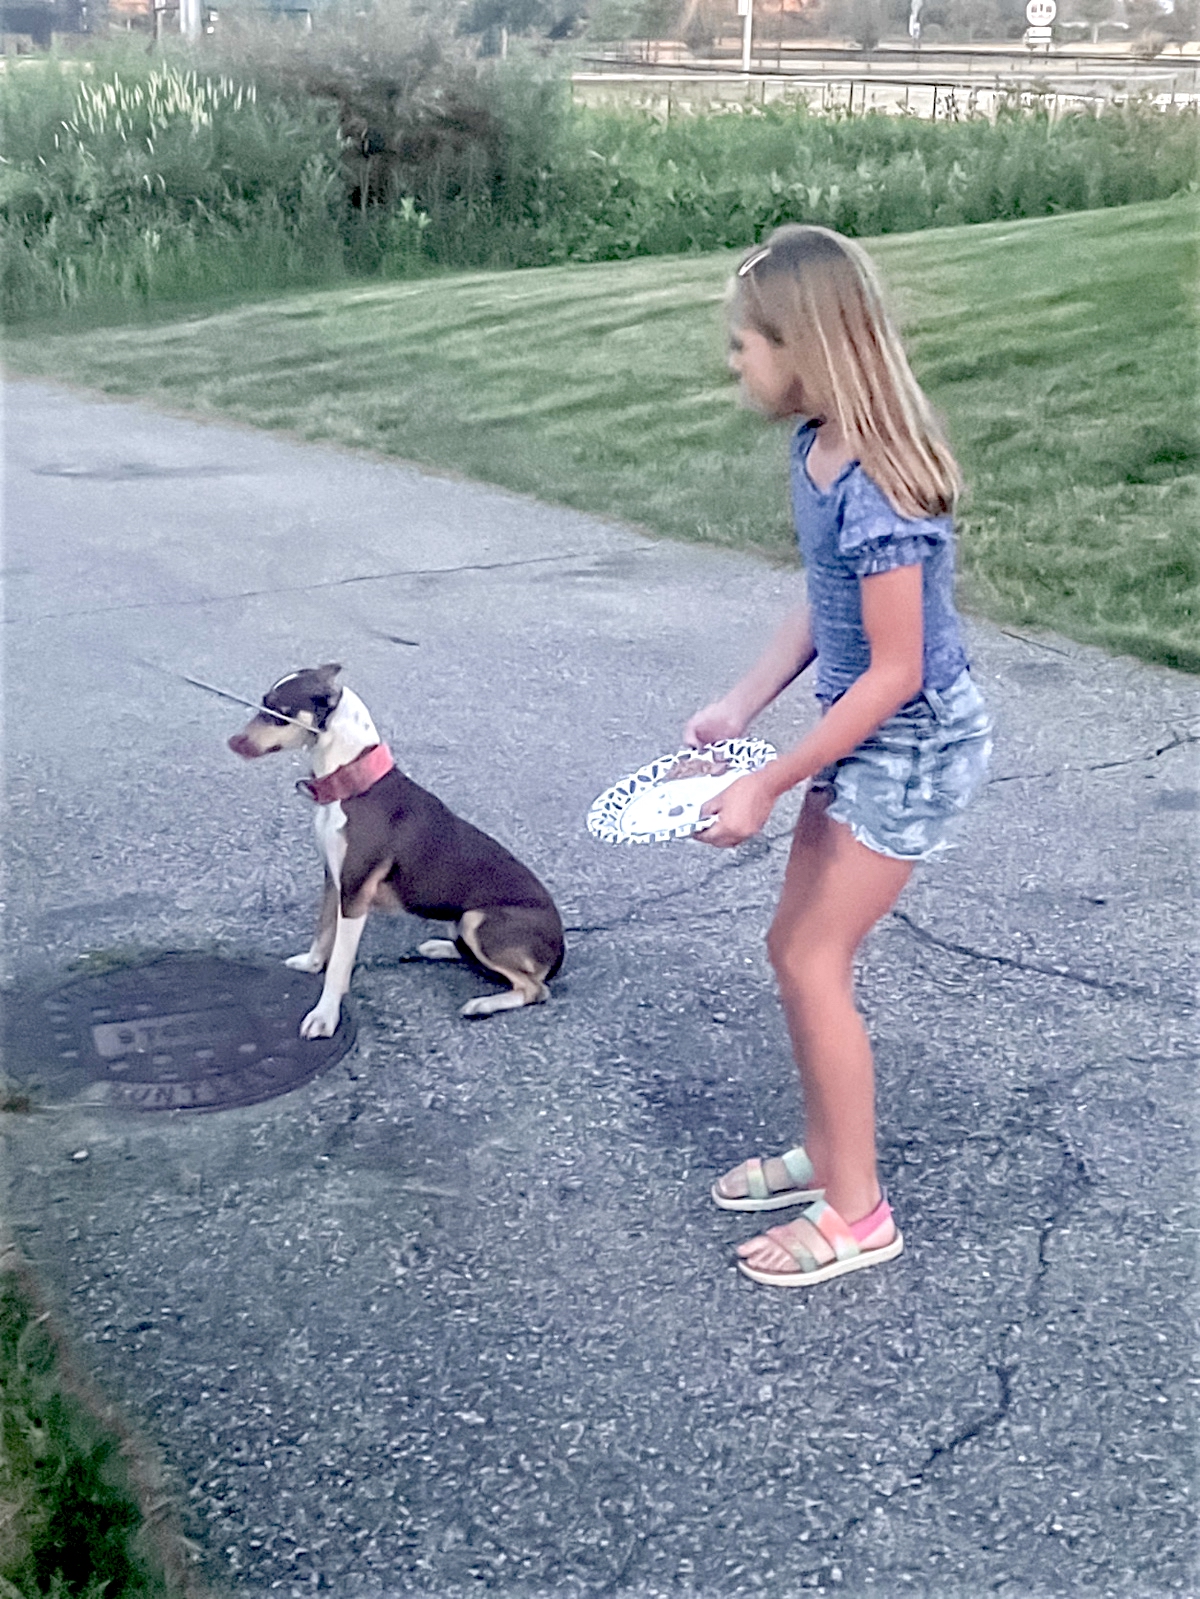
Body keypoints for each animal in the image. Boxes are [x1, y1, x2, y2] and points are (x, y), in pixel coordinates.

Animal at [232, 661, 569, 1036]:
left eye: (278, 713)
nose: (234, 742)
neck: (352, 784)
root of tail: (560, 946)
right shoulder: (334, 879)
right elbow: (322, 932)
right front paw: (310, 964)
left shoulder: (355, 894)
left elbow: (339, 963)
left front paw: (325, 1015)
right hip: (462, 918)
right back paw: (440, 947)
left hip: (478, 919)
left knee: (534, 988)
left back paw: (482, 1004)